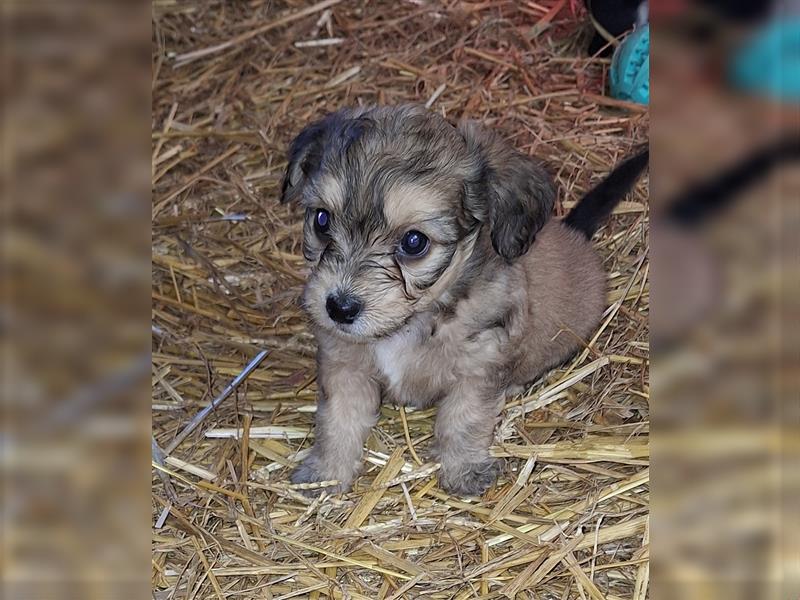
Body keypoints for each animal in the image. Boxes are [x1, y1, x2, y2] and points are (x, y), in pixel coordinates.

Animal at [278, 104, 648, 496]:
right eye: (322, 220)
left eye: (414, 242)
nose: (339, 308)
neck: (416, 320)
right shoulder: (344, 364)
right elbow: (338, 419)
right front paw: (326, 473)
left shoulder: (478, 367)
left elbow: (462, 419)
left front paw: (464, 470)